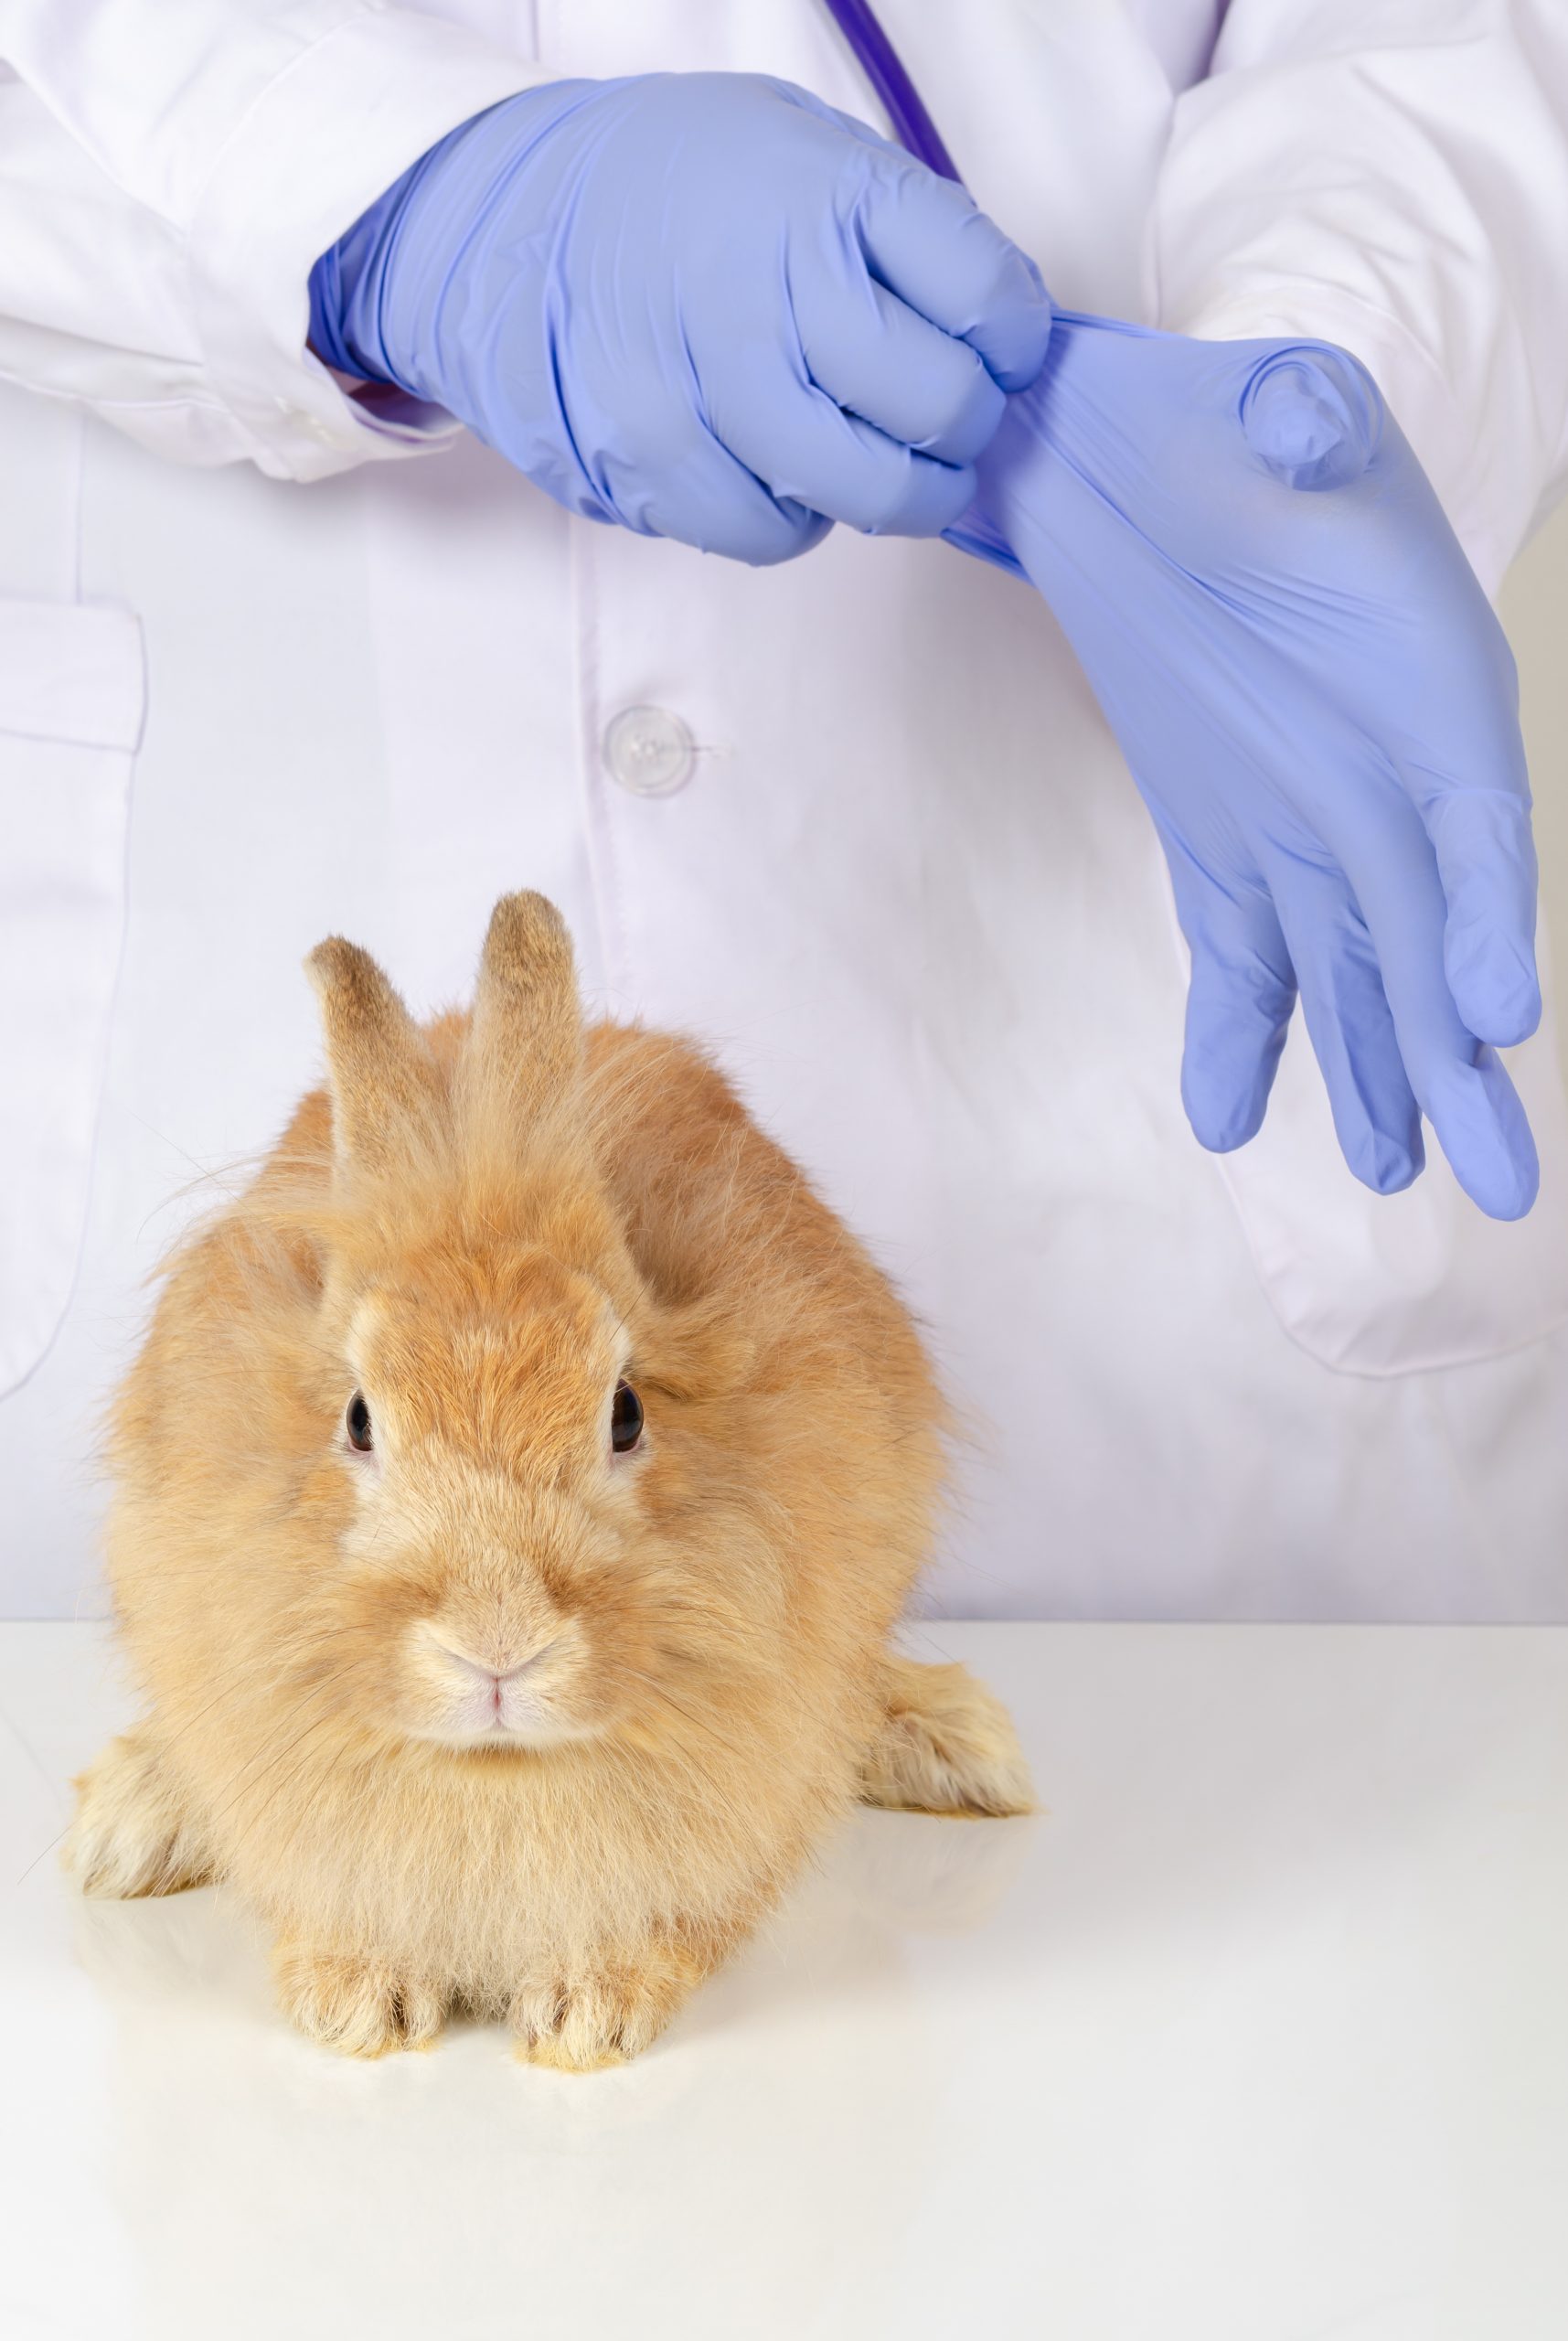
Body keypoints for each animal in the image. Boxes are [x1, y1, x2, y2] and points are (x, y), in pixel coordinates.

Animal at [65, 892, 1032, 2067]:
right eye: (357, 1419)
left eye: (625, 1413)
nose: (497, 1649)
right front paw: (355, 1999)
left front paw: (587, 2010)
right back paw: (127, 1822)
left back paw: (965, 1748)